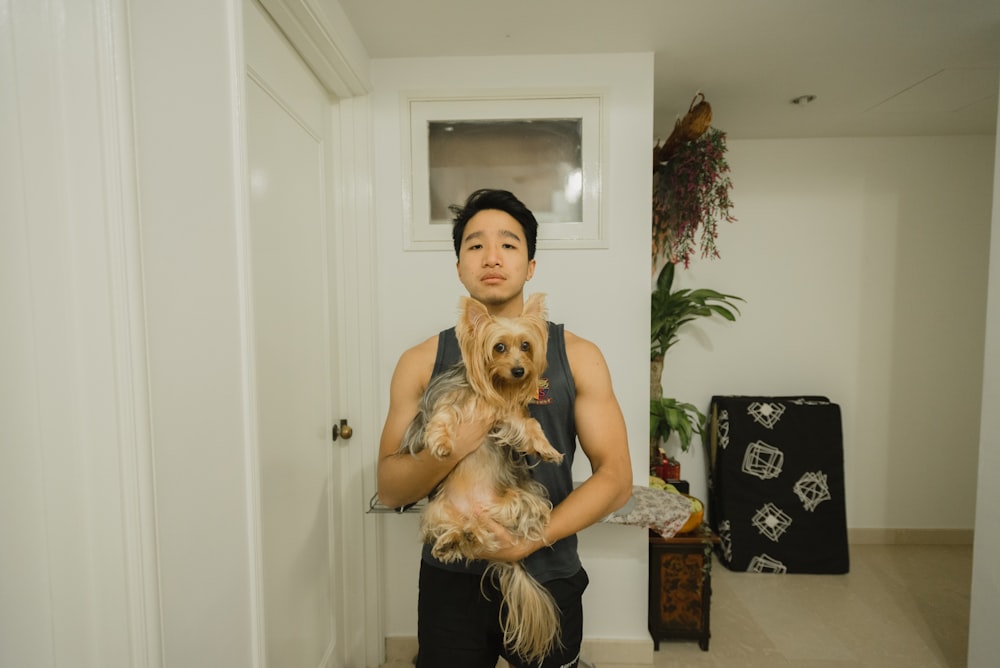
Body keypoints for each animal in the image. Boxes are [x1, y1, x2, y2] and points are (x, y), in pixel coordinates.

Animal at [400, 294, 572, 664]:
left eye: (526, 345)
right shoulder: (446, 402)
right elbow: (444, 416)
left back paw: (469, 533)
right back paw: (452, 541)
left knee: (492, 528)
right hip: (437, 510)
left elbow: (528, 424)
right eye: (499, 347)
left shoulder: (507, 415)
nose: (520, 370)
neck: (491, 389)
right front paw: (442, 443)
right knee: (459, 531)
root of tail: (471, 512)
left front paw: (547, 449)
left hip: (526, 499)